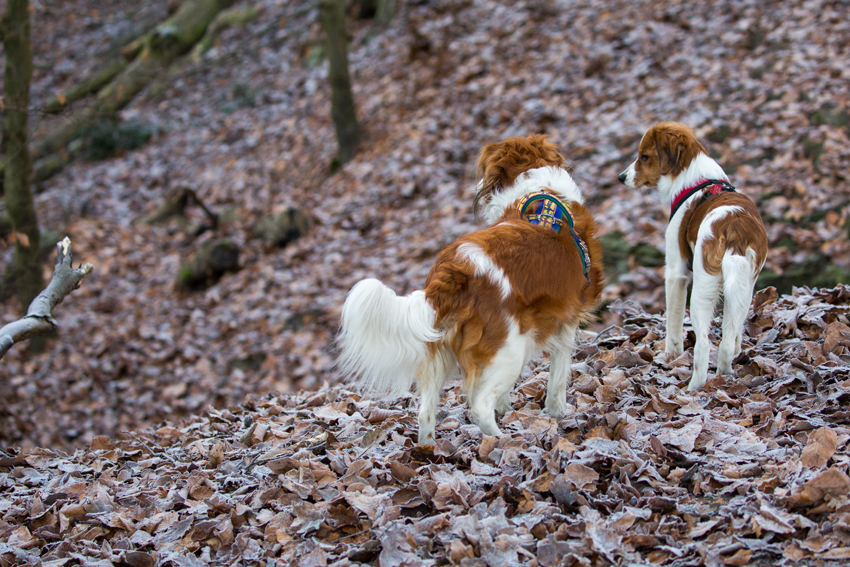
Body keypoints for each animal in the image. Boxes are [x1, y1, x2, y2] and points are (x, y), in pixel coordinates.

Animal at [338, 135, 604, 446]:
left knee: (425, 413)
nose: (475, 187)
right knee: (479, 407)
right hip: (508, 350)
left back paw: (429, 451)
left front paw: (509, 409)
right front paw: (557, 414)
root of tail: (454, 270)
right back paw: (502, 440)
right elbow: (558, 380)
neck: (536, 187)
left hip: (440, 353)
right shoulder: (566, 322)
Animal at [616, 122, 768, 390]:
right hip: (744, 288)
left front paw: (670, 355)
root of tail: (734, 230)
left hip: (701, 290)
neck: (695, 181)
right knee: (728, 341)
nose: (621, 177)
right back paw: (725, 373)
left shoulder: (676, 274)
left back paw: (694, 386)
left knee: (704, 345)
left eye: (644, 156)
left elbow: (673, 323)